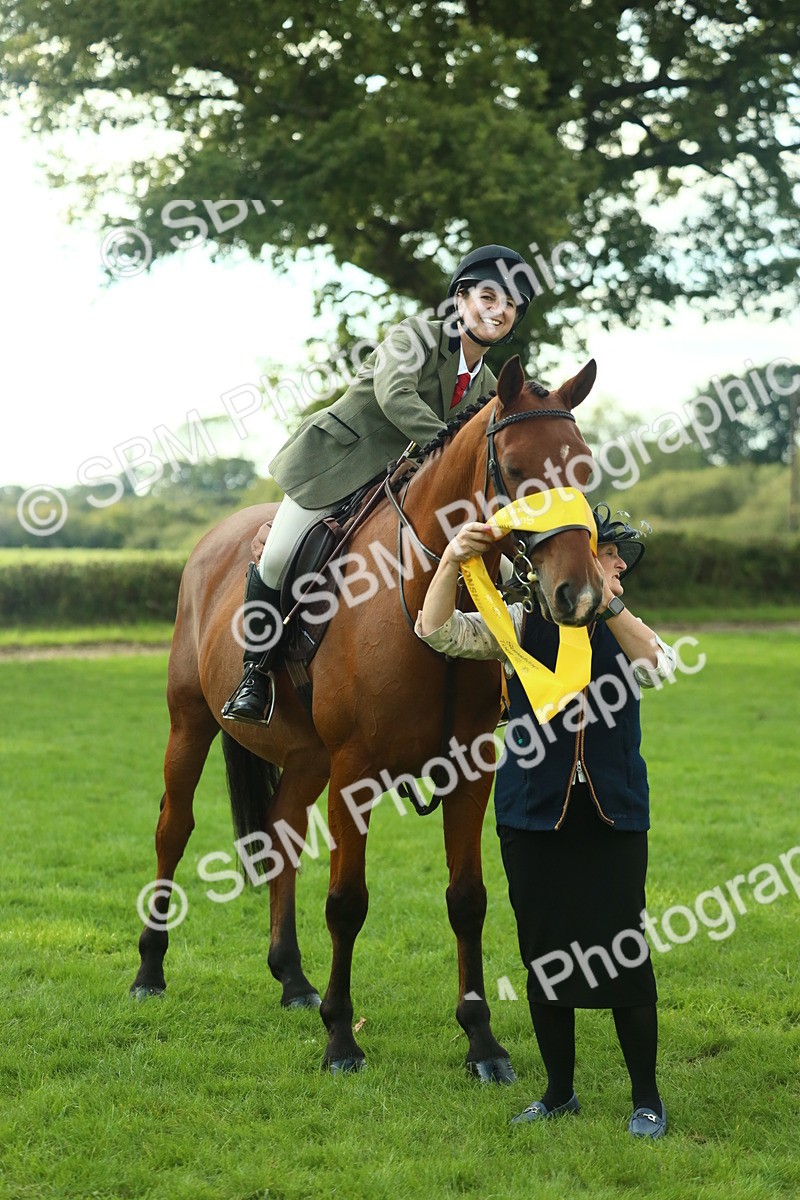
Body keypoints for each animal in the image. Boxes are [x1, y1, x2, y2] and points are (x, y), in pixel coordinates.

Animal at [131, 354, 602, 1080]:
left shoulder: (471, 771)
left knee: (281, 836)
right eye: (519, 469)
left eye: (583, 467)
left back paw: (292, 978)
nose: (577, 594)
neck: (428, 590)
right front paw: (341, 1040)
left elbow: (468, 901)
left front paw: (482, 1042)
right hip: (191, 724)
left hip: (304, 759)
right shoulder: (355, 771)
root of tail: (214, 538)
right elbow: (347, 903)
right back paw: (150, 971)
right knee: (172, 830)